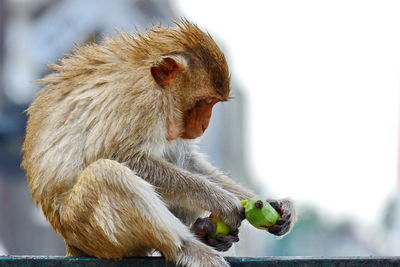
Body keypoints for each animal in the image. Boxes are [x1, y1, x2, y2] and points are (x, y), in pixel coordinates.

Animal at [21, 21, 294, 267]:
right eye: (204, 101)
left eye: (213, 103)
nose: (205, 125)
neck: (155, 84)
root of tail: (72, 244)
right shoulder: (141, 101)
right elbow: (121, 156)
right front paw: (222, 201)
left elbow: (188, 161)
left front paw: (274, 204)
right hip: (86, 229)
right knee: (107, 173)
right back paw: (188, 248)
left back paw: (206, 232)